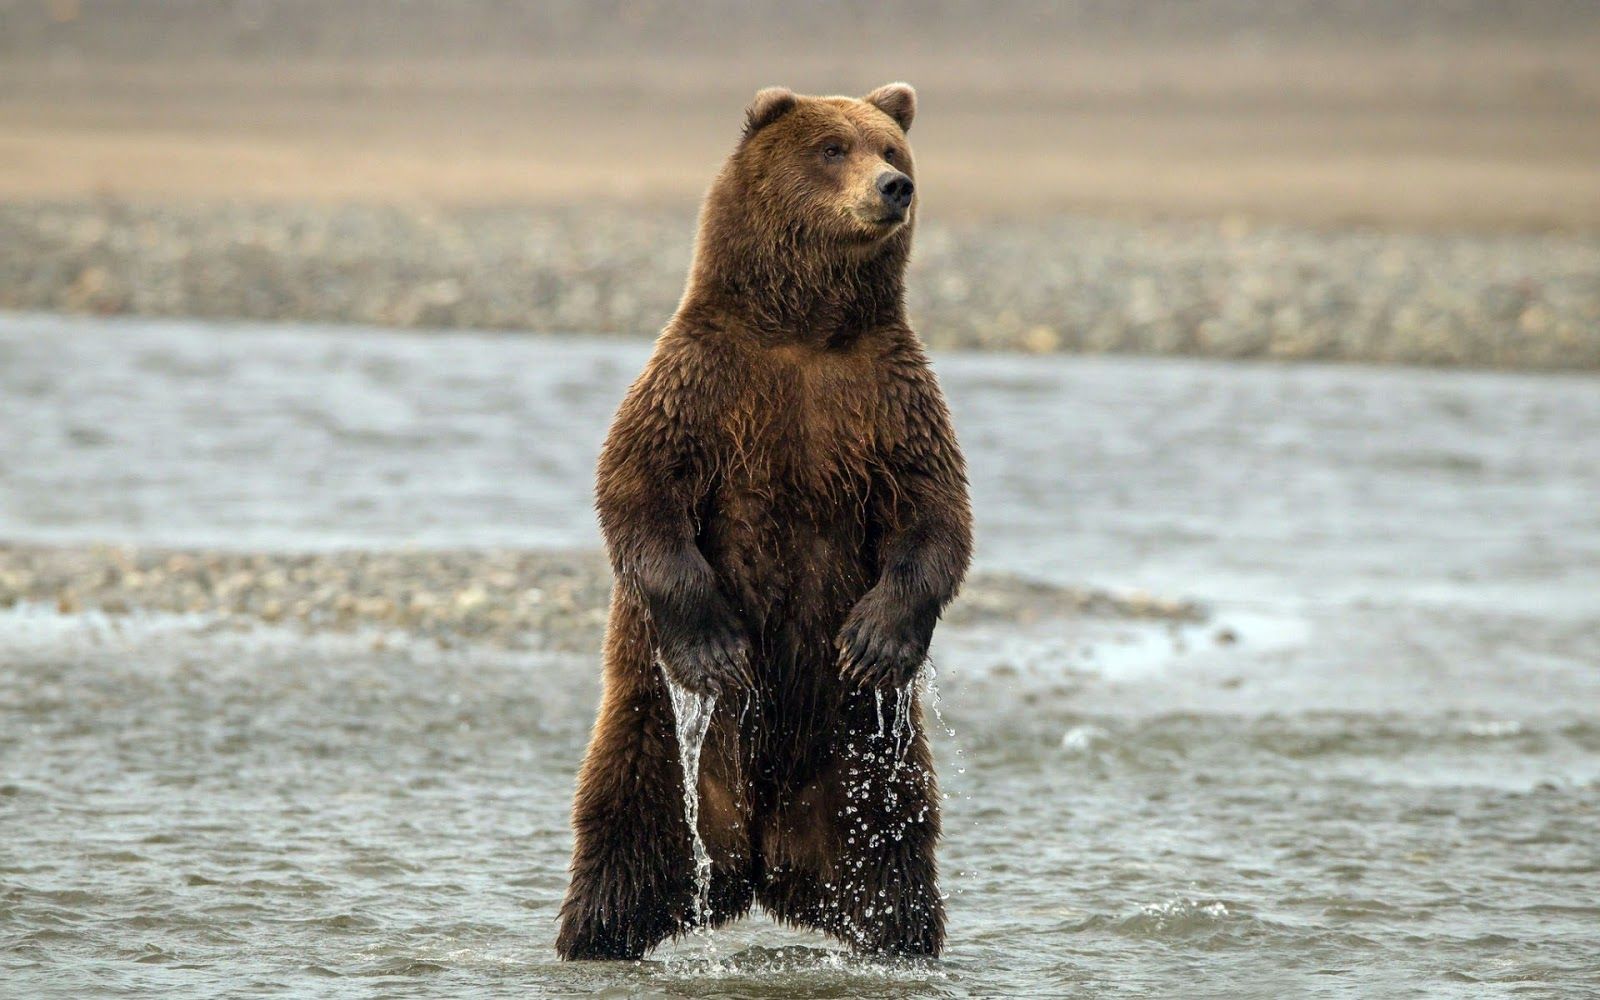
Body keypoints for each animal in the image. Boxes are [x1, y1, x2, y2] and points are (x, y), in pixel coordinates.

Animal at [556, 82, 972, 961]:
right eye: (833, 148)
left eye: (892, 148)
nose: (894, 188)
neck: (806, 331)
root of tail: (759, 861)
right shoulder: (702, 383)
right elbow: (639, 491)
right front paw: (717, 649)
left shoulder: (889, 400)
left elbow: (934, 516)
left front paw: (875, 640)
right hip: (653, 732)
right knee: (624, 840)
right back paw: (594, 938)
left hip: (866, 761)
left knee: (894, 859)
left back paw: (899, 942)